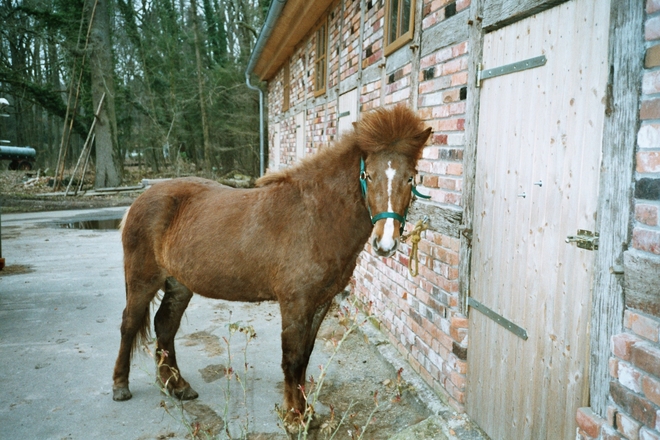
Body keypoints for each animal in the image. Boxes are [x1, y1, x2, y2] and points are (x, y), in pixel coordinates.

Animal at [112, 105, 434, 418]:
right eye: (368, 176)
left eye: (410, 177)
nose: (385, 243)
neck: (315, 218)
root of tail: (140, 200)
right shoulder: (295, 302)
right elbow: (292, 358)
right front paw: (293, 417)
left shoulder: (320, 302)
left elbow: (305, 356)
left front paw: (306, 414)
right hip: (142, 280)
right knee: (129, 323)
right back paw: (121, 386)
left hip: (179, 284)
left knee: (165, 325)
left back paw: (176, 386)